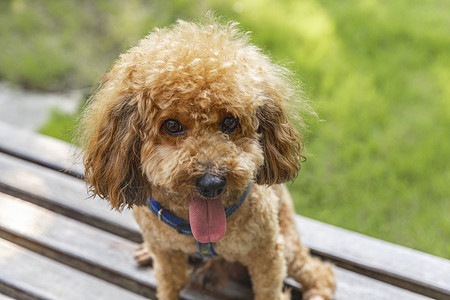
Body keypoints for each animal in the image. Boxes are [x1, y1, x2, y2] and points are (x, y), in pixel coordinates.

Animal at [79, 17, 336, 298]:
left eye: (230, 122)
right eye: (171, 125)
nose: (212, 184)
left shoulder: (267, 252)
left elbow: (269, 291)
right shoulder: (165, 253)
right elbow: (169, 285)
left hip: (288, 244)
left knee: (321, 273)